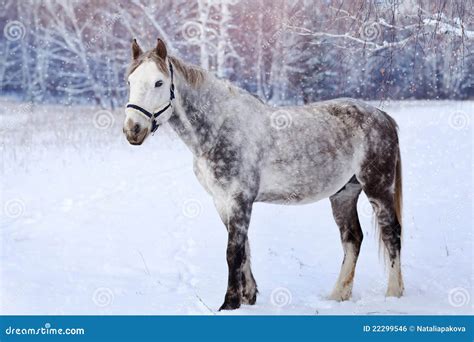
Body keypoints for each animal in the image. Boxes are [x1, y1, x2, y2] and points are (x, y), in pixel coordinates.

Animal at [123, 38, 404, 312]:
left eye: (159, 82)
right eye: (130, 81)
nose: (133, 130)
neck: (220, 128)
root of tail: (382, 116)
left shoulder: (240, 199)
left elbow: (233, 252)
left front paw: (230, 303)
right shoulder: (222, 201)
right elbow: (244, 248)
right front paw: (248, 297)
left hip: (377, 188)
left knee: (392, 234)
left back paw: (393, 293)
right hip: (343, 194)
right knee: (352, 239)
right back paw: (338, 295)